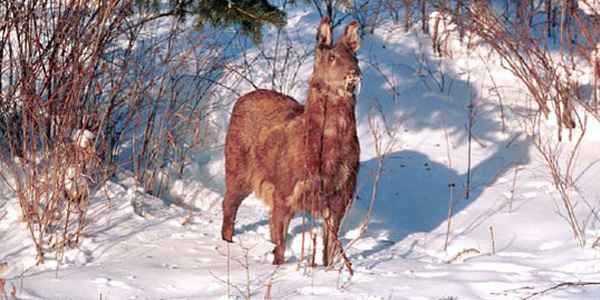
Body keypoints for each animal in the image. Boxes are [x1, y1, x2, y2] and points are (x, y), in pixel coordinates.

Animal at [221, 17, 358, 264]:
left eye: (355, 56)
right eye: (332, 57)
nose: (355, 72)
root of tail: (241, 99)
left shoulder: (340, 197)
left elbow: (329, 250)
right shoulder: (285, 192)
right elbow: (281, 246)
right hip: (237, 168)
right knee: (229, 203)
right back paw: (227, 243)